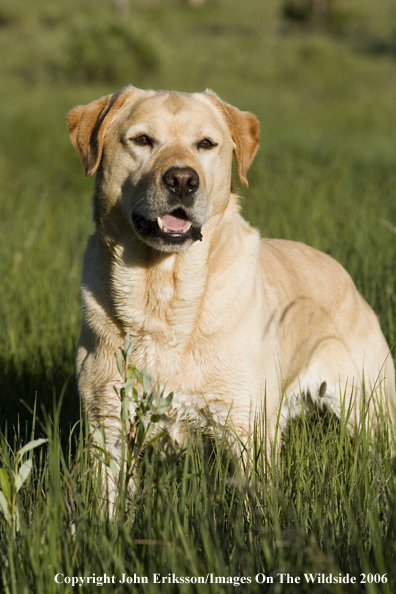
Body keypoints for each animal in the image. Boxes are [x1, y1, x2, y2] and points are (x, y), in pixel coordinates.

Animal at [68, 83, 396, 480]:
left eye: (206, 144)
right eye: (142, 139)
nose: (182, 180)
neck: (165, 291)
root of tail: (343, 273)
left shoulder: (247, 429)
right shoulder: (107, 427)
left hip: (373, 409)